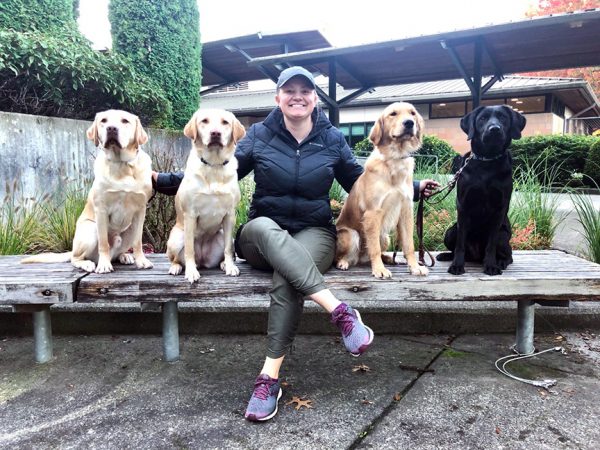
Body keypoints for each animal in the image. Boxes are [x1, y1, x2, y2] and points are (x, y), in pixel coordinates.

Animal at [165, 109, 245, 284]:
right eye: (204, 121)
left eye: (225, 122)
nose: (215, 133)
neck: (214, 165)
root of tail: (202, 261)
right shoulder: (190, 215)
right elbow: (189, 249)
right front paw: (191, 272)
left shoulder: (230, 214)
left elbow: (228, 249)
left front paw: (230, 267)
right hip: (176, 238)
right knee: (176, 257)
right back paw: (177, 267)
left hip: (223, 235)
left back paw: (223, 264)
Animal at [336, 102, 428, 278]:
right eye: (393, 114)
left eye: (412, 113)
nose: (409, 123)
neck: (395, 159)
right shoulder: (373, 212)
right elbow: (375, 249)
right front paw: (379, 269)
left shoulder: (405, 210)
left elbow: (409, 245)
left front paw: (414, 267)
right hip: (351, 234)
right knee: (344, 256)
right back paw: (343, 262)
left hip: (385, 236)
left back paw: (391, 259)